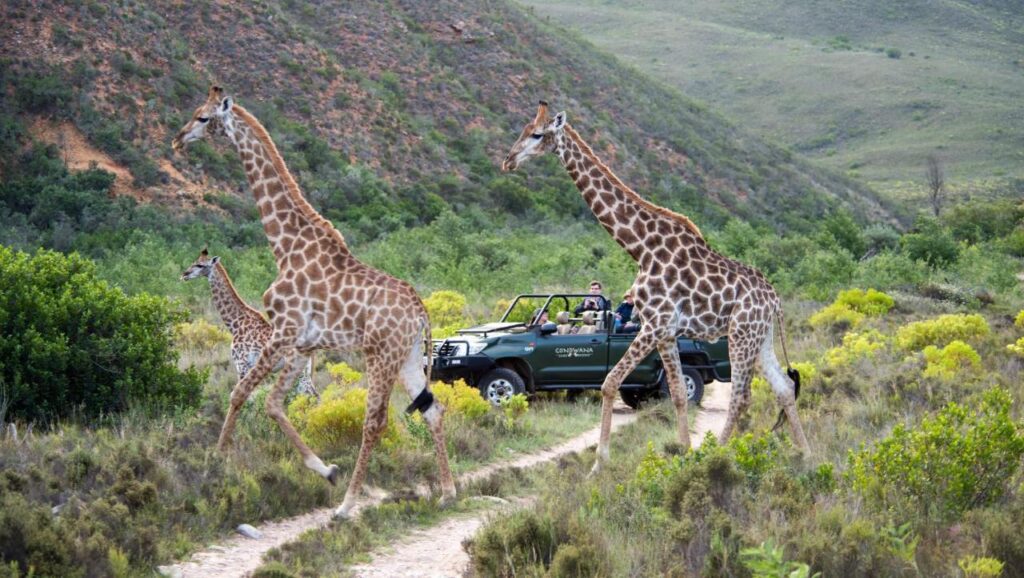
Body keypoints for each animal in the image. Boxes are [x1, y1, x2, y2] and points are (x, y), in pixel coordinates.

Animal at [180, 248, 317, 398]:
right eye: (194, 262)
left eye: (200, 265)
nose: (184, 275)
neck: (234, 323)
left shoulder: (242, 364)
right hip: (305, 370)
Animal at [502, 102, 810, 471]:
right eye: (522, 130)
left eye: (537, 134)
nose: (508, 160)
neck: (640, 247)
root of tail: (775, 298)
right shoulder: (666, 332)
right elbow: (677, 394)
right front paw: (684, 452)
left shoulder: (654, 324)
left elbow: (609, 383)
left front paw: (599, 465)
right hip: (760, 337)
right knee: (783, 387)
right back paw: (809, 458)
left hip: (741, 334)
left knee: (741, 396)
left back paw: (717, 455)